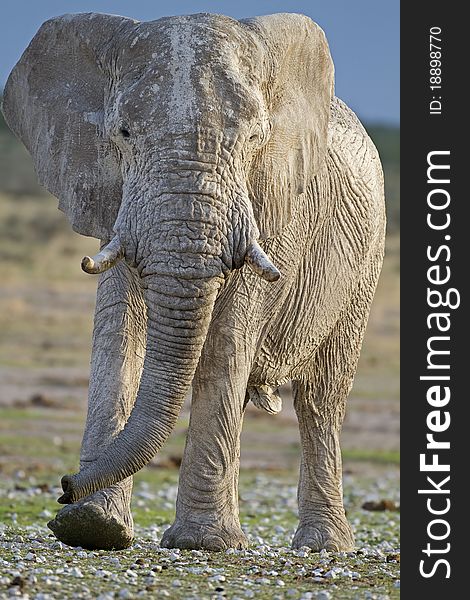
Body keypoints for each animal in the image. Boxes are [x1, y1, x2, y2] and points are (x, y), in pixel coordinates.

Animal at [2, 10, 386, 552]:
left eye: (254, 139)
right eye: (123, 134)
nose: (63, 486)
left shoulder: (272, 208)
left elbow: (227, 336)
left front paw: (204, 543)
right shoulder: (114, 198)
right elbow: (119, 331)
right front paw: (91, 527)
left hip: (364, 266)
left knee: (322, 399)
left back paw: (323, 546)